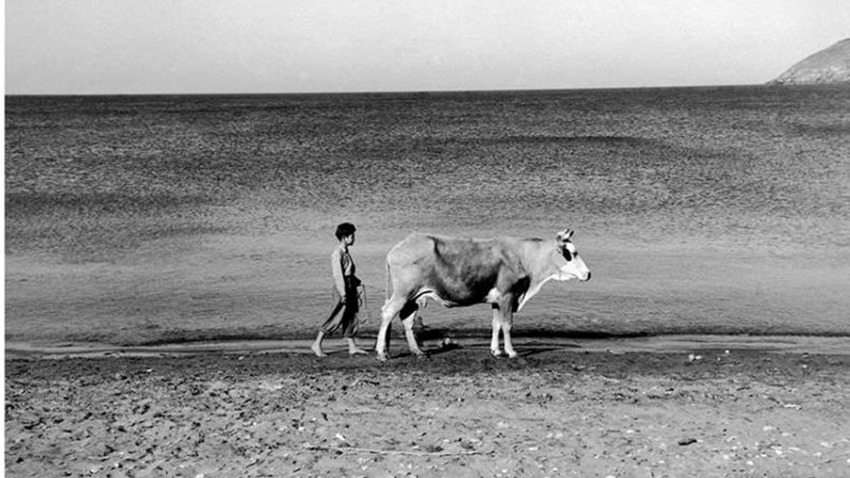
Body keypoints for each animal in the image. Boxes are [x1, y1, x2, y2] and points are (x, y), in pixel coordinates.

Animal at [374, 230, 592, 360]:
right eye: (571, 253)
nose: (588, 274)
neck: (523, 257)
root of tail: (396, 249)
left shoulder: (496, 300)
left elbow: (496, 324)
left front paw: (496, 350)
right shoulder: (508, 295)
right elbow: (507, 324)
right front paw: (511, 351)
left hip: (413, 296)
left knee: (407, 319)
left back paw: (417, 350)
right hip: (403, 293)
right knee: (387, 313)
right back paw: (382, 352)